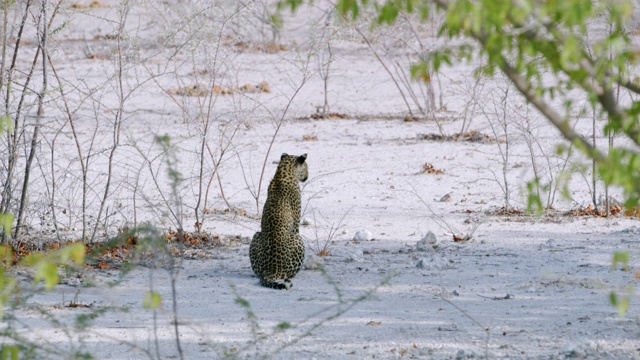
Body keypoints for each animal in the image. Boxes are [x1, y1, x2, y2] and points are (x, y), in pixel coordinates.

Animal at [249, 152, 308, 290]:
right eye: (306, 167)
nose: (307, 177)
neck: (283, 172)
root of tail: (272, 270)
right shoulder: (296, 224)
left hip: (256, 235)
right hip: (298, 239)